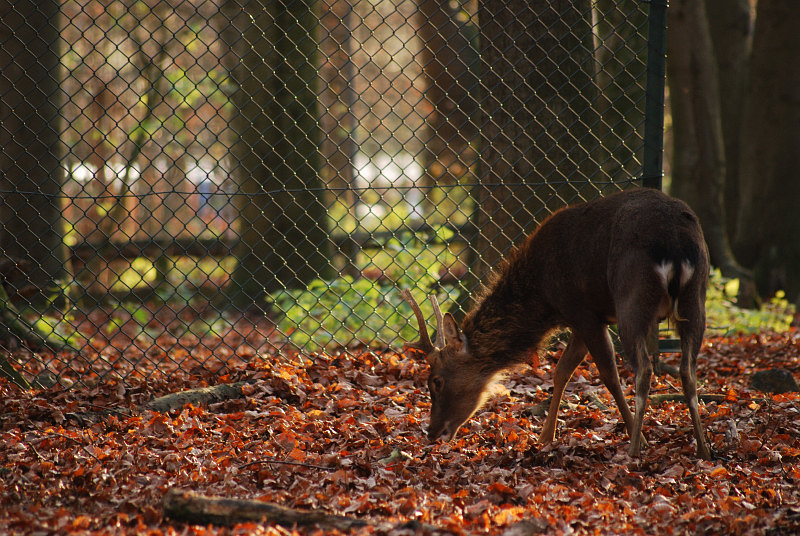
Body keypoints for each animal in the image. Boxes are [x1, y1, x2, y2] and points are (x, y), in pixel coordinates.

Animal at [401, 188, 712, 460]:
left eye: (436, 381)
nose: (432, 432)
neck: (543, 299)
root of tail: (674, 242)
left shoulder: (582, 311)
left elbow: (608, 376)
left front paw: (642, 438)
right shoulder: (583, 320)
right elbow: (561, 372)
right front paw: (545, 437)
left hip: (631, 297)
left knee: (645, 369)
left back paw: (635, 451)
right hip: (696, 296)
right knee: (687, 369)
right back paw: (703, 449)